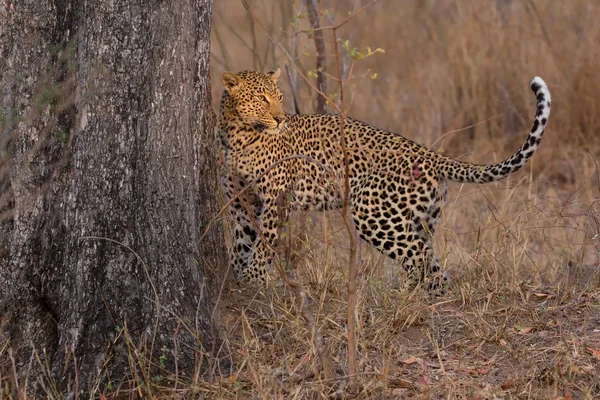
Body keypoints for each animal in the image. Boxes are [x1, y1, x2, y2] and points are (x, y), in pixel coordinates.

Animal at [218, 66, 552, 290]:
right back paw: (428, 296)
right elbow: (241, 240)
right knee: (431, 261)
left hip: (373, 213)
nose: (280, 119)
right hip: (419, 218)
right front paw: (234, 279)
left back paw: (407, 299)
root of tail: (429, 154)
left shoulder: (276, 199)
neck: (237, 135)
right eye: (262, 99)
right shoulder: (241, 201)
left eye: (278, 97)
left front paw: (253, 280)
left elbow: (264, 243)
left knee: (419, 258)